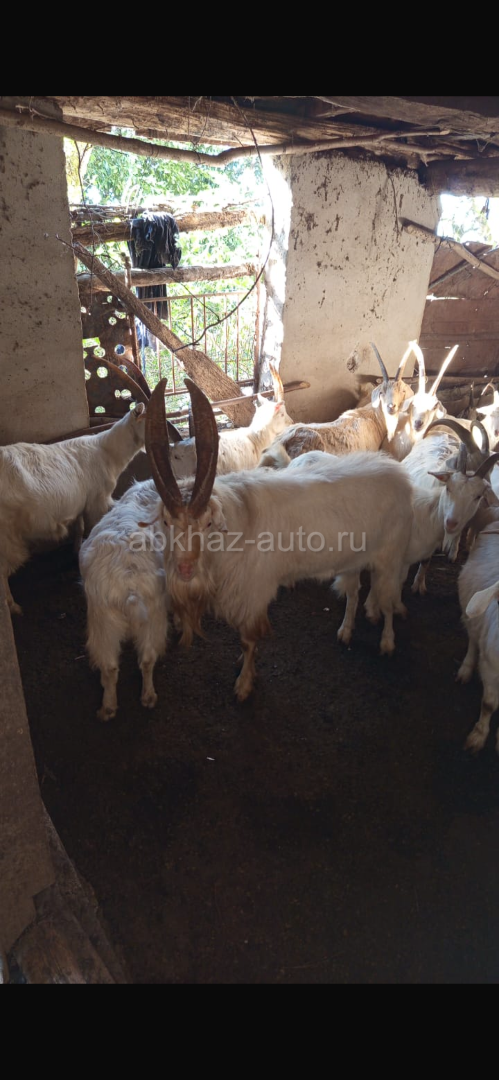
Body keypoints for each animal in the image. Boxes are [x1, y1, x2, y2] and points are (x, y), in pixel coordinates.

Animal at [0, 403, 147, 615]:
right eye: (147, 419)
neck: (107, 452)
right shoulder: (96, 500)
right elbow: (94, 526)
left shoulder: (81, 502)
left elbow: (79, 527)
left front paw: (77, 549)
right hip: (6, 535)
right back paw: (12, 605)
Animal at [79, 479, 168, 721]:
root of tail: (129, 585)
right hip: (152, 616)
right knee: (147, 659)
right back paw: (148, 697)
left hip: (102, 623)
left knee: (109, 668)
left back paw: (107, 708)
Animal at [145, 378, 414, 701]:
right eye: (166, 521)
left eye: (208, 523)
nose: (185, 570)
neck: (240, 520)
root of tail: (398, 475)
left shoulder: (254, 593)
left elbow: (248, 639)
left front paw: (244, 685)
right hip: (355, 558)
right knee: (354, 592)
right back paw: (346, 630)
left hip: (391, 555)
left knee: (387, 598)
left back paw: (386, 642)